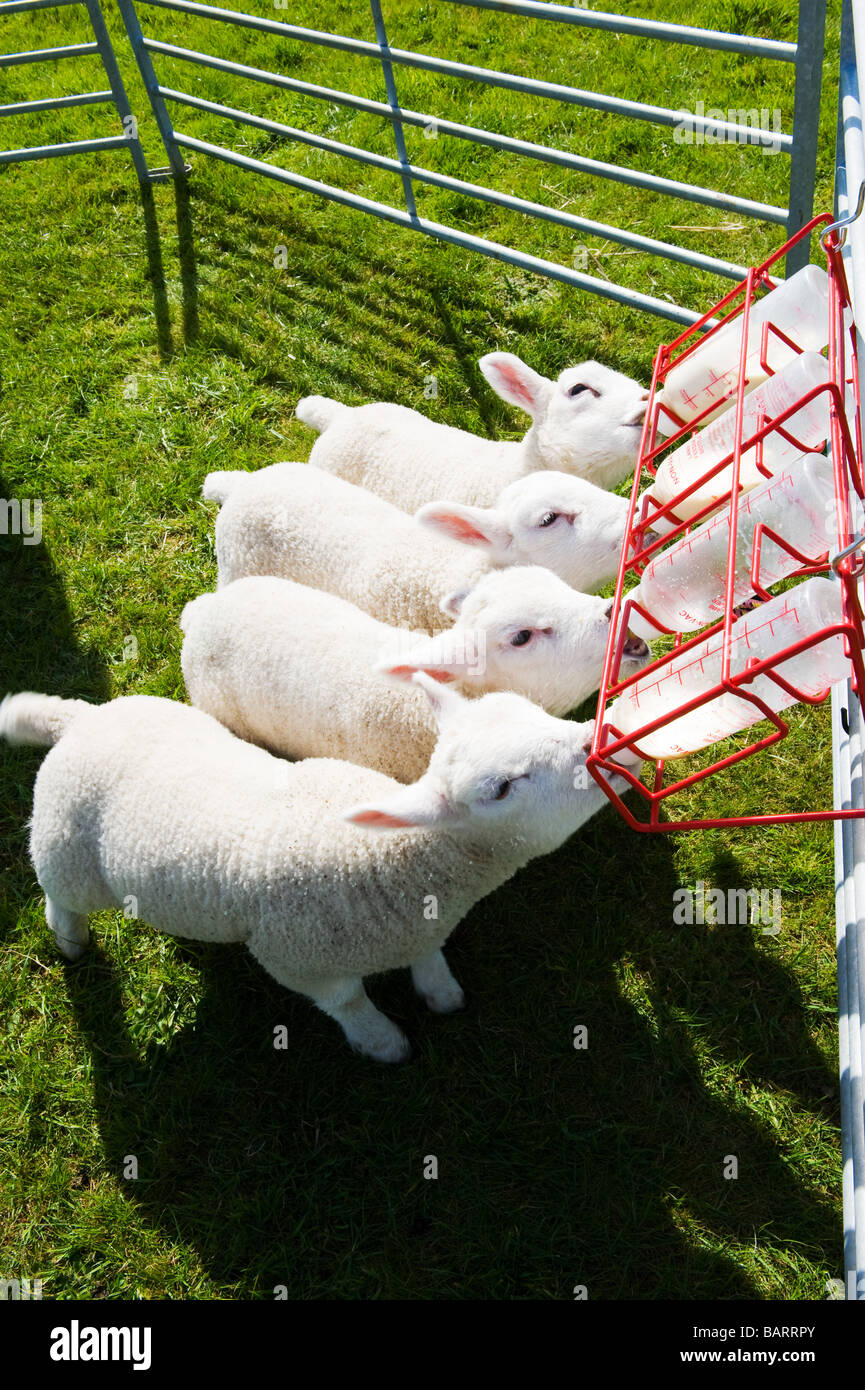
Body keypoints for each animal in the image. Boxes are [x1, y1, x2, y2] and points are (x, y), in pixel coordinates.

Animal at [1, 686, 645, 1061]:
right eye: (503, 788)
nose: (607, 737)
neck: (394, 863)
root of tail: (79, 721)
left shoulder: (420, 923)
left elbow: (430, 955)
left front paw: (440, 993)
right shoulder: (300, 960)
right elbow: (348, 1002)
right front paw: (382, 1043)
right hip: (65, 848)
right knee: (60, 895)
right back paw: (70, 940)